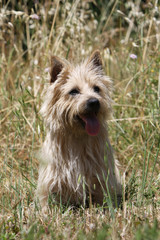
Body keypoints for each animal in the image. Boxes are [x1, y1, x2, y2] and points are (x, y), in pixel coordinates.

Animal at [36, 50, 121, 210]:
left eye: (96, 88)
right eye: (74, 91)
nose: (94, 102)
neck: (78, 136)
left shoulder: (101, 176)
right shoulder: (51, 181)